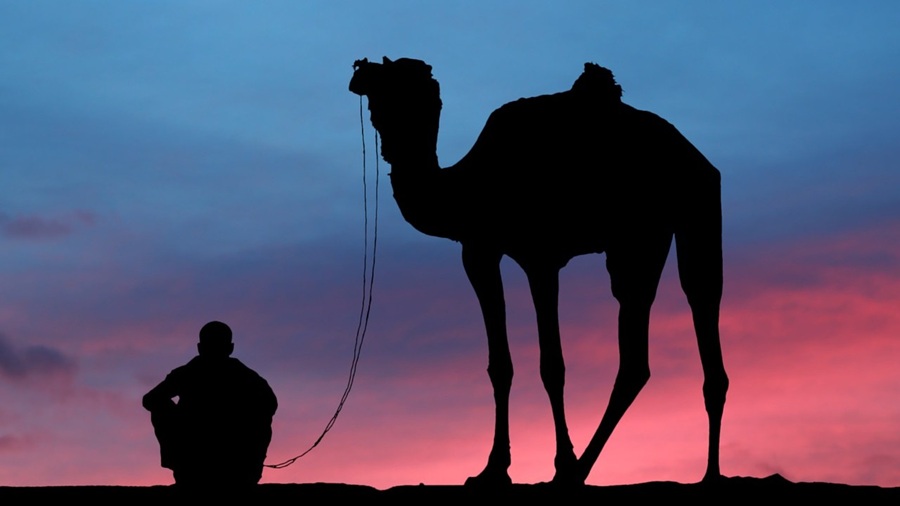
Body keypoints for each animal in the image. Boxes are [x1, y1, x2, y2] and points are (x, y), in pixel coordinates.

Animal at [349, 56, 728, 486]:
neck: (465, 186)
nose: (358, 77)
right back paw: (708, 473)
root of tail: (697, 159)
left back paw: (578, 471)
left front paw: (560, 461)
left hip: (656, 227)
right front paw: (493, 469)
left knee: (661, 327)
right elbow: (500, 364)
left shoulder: (540, 258)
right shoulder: (479, 251)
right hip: (671, 228)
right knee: (685, 312)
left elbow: (552, 365)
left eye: (396, 79)